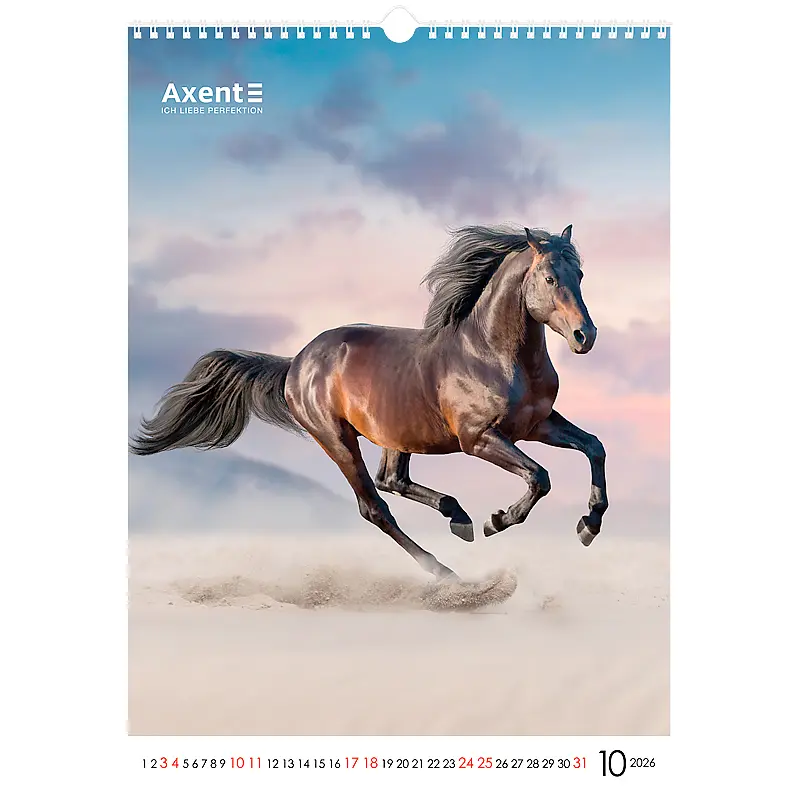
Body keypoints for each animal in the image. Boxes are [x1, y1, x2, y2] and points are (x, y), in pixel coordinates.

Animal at [130, 224, 608, 581]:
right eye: (550, 278)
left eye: (581, 277)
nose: (585, 336)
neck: (490, 353)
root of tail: (296, 362)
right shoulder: (478, 439)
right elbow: (540, 477)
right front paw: (498, 519)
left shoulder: (537, 425)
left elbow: (594, 447)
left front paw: (589, 525)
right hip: (337, 439)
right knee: (374, 506)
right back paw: (446, 570)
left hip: (397, 432)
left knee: (391, 480)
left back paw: (458, 518)